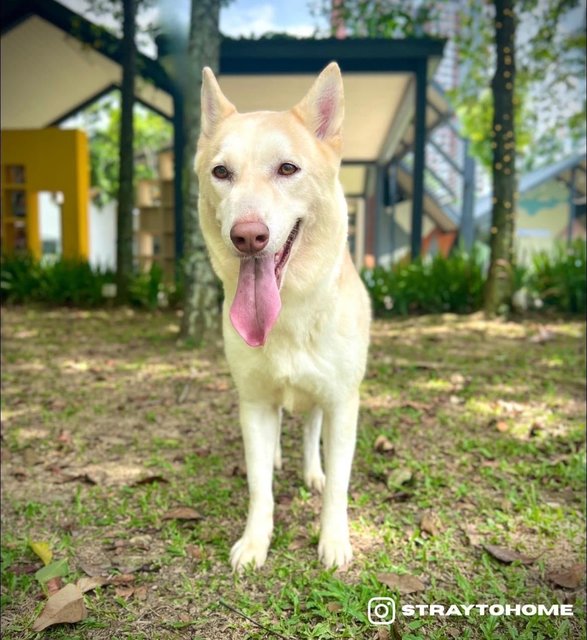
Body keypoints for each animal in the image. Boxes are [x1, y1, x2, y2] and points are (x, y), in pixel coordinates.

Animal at [198, 61, 372, 568]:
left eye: (287, 168)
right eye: (221, 172)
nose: (247, 237)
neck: (290, 315)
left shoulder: (342, 403)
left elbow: (338, 485)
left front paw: (333, 540)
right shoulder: (254, 402)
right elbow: (260, 487)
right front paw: (256, 541)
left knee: (312, 431)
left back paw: (311, 471)